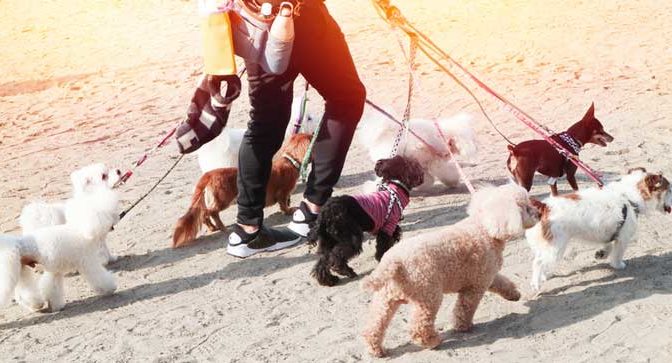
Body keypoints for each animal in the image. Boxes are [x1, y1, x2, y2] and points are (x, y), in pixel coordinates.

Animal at [172, 134, 312, 250]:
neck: (290, 161)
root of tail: (209, 174)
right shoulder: (283, 192)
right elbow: (283, 203)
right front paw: (289, 210)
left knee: (204, 214)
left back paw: (212, 227)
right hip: (223, 199)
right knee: (210, 212)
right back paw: (221, 227)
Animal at [308, 156, 422, 288]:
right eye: (412, 165)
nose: (422, 175)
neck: (395, 187)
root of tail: (324, 213)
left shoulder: (387, 226)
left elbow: (393, 237)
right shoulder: (388, 226)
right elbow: (383, 245)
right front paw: (382, 258)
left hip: (328, 240)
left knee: (323, 261)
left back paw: (329, 280)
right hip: (350, 236)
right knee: (336, 257)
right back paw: (346, 271)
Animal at [528, 168, 668, 292]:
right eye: (669, 189)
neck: (629, 197)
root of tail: (545, 206)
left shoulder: (608, 232)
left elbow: (608, 245)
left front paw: (602, 253)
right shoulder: (623, 238)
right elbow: (618, 253)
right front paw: (618, 264)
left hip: (546, 246)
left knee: (540, 260)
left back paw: (544, 276)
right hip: (555, 248)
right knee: (537, 262)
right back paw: (536, 283)